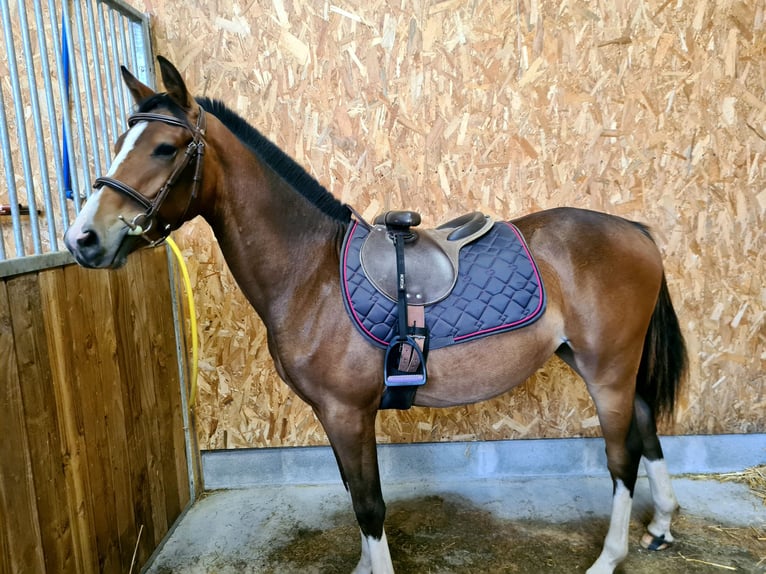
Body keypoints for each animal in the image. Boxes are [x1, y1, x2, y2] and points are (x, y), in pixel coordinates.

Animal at [66, 57, 688, 574]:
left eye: (165, 148)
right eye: (121, 140)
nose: (82, 239)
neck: (311, 273)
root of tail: (635, 231)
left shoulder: (347, 413)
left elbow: (369, 506)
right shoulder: (334, 416)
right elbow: (354, 497)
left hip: (605, 370)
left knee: (621, 458)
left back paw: (610, 557)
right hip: (600, 364)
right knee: (646, 424)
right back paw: (660, 525)